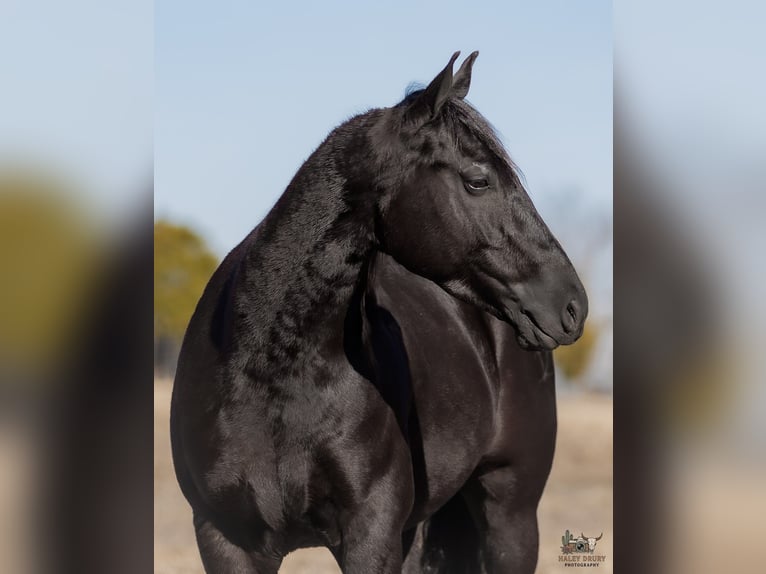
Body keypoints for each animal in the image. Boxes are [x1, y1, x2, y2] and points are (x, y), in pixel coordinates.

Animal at [171, 51, 587, 574]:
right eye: (477, 180)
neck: (269, 375)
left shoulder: (371, 533)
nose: (571, 304)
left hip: (511, 515)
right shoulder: (225, 538)